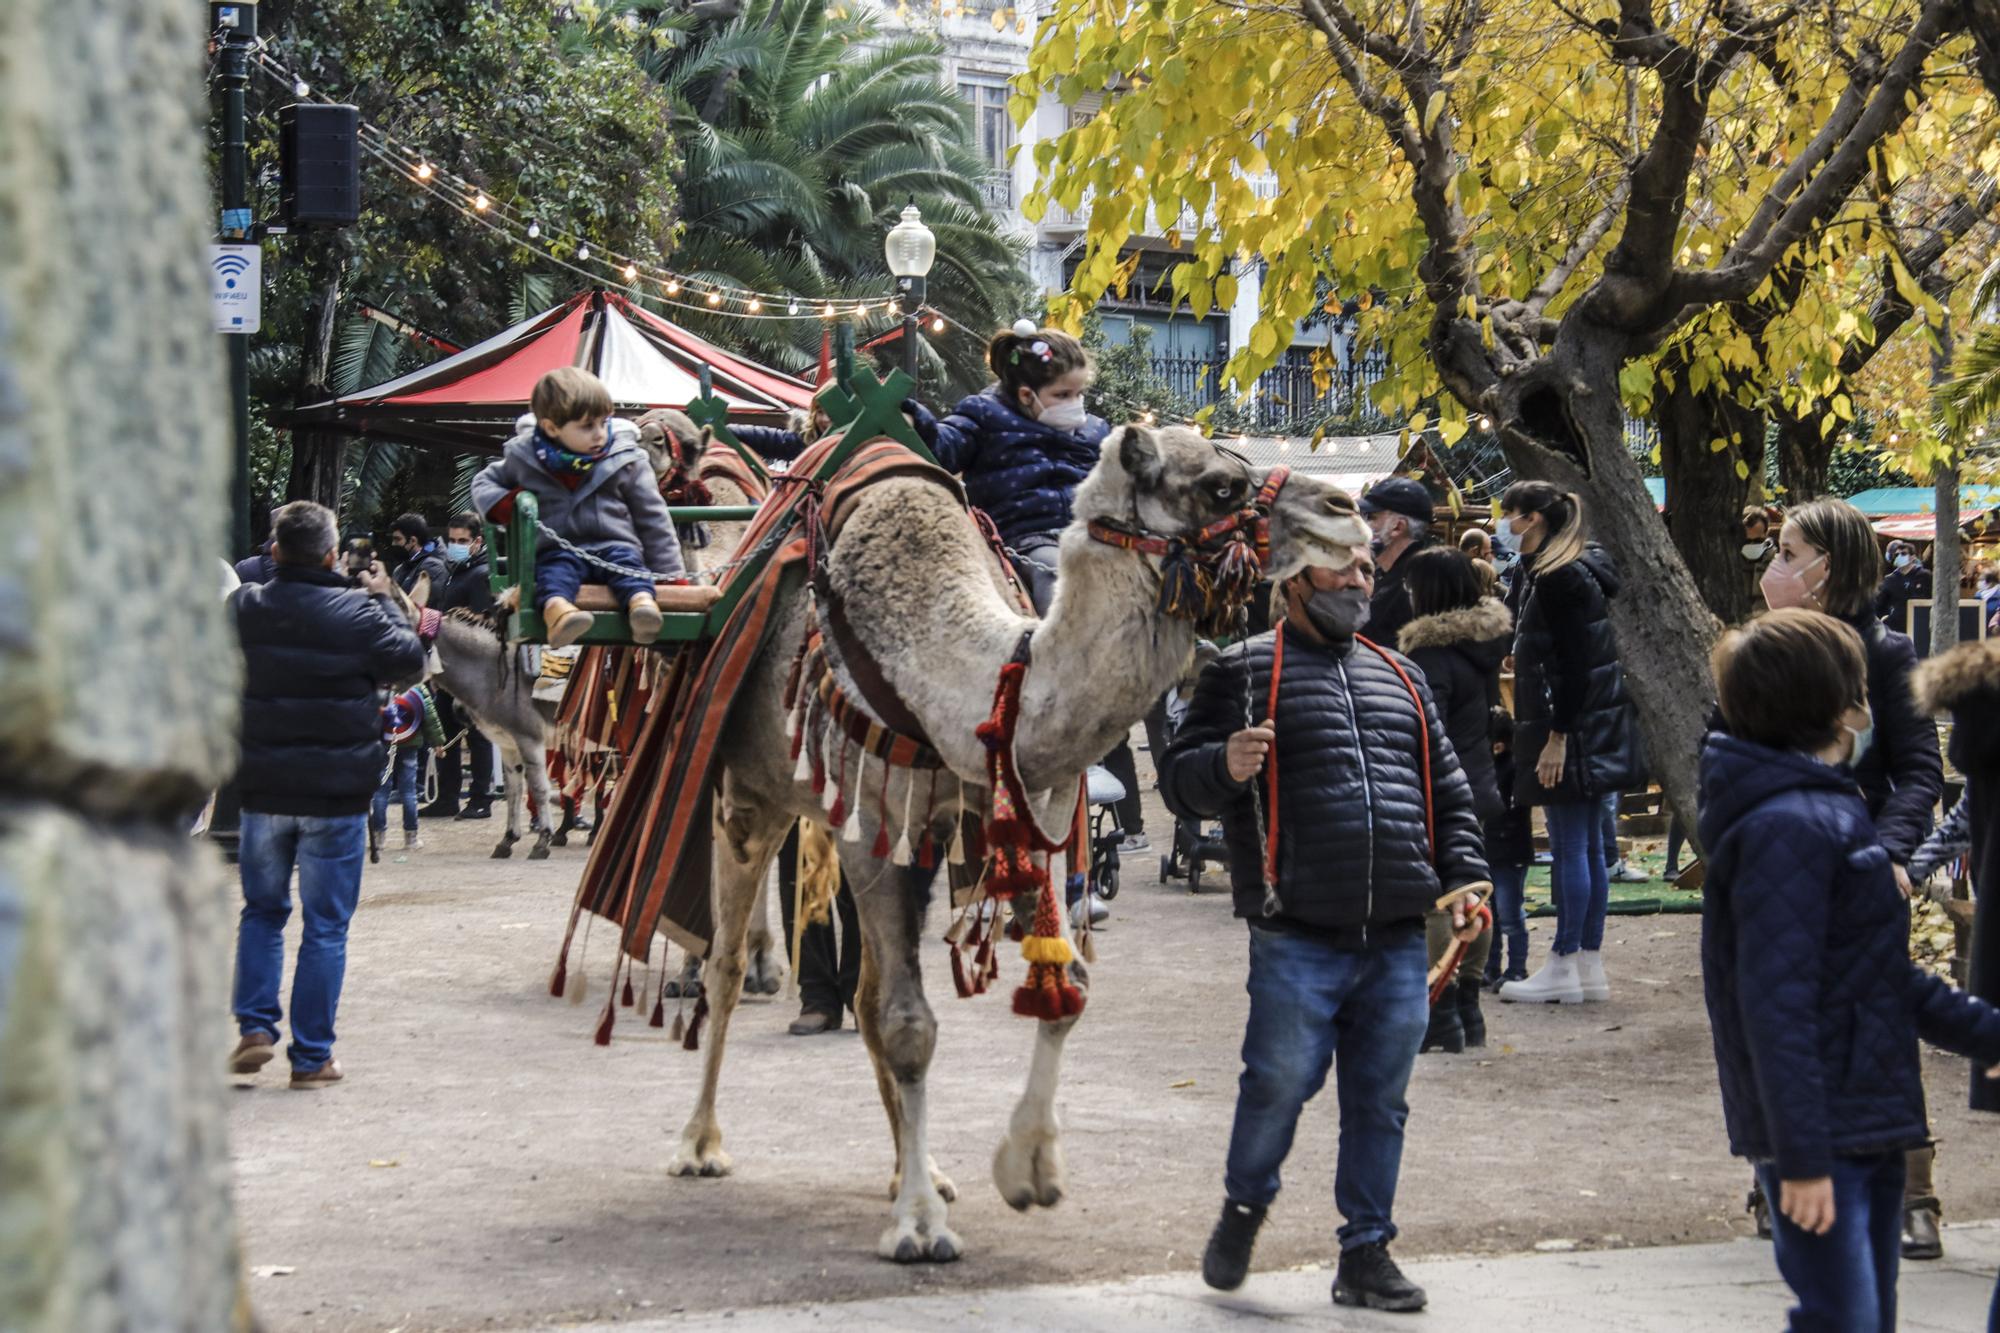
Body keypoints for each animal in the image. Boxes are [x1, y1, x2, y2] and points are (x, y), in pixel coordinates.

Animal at [672, 422, 1360, 1256]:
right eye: (1220, 485)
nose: (1346, 509)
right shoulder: (872, 829)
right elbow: (908, 1024)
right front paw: (920, 1227)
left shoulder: (1013, 814)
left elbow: (1065, 989)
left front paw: (1026, 1170)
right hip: (750, 792)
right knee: (727, 964)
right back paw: (702, 1142)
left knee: (862, 994)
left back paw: (915, 1171)